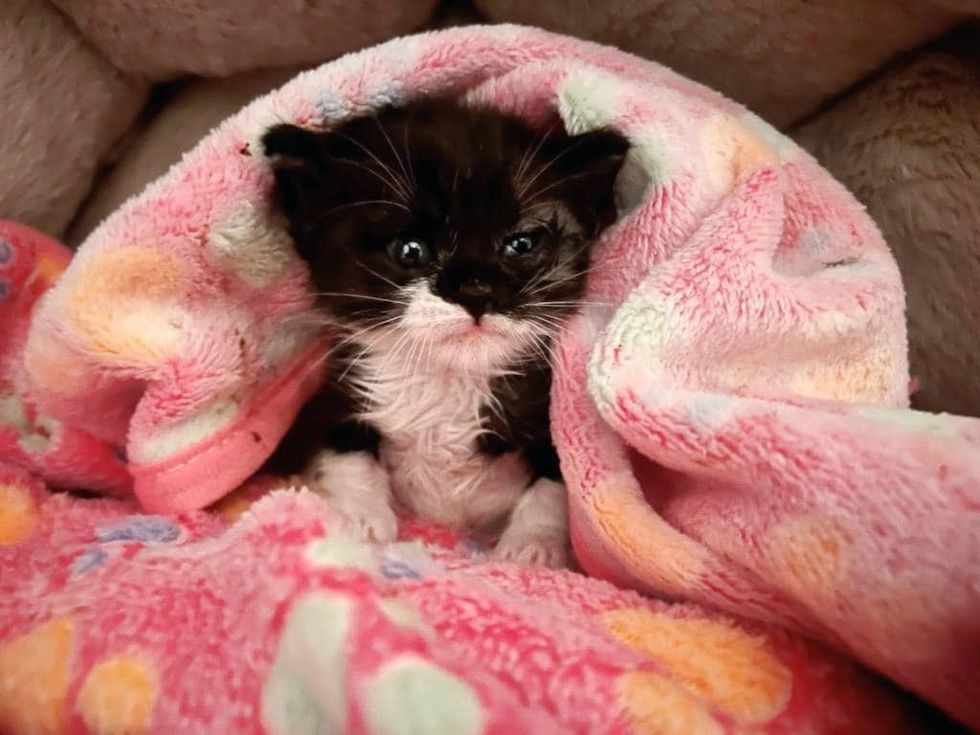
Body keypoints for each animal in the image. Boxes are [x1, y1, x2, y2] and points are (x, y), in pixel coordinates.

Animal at [260, 99, 628, 568]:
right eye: (409, 250)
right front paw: (359, 518)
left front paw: (534, 546)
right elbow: (340, 447)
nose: (476, 291)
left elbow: (555, 480)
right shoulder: (328, 394)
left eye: (521, 244)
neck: (449, 381)